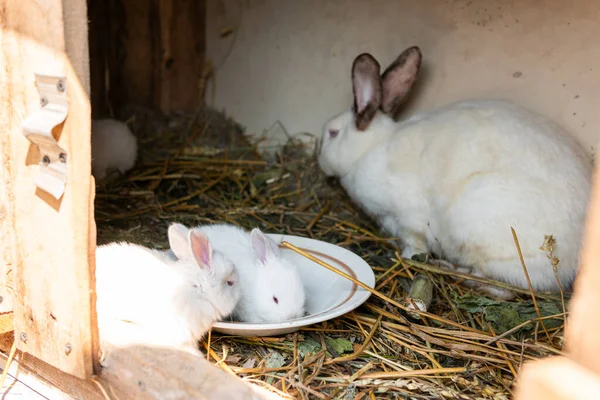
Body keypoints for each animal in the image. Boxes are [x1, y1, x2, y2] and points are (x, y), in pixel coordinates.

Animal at [316, 45, 592, 298]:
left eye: (332, 133)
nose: (319, 160)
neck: (370, 148)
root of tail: (572, 263)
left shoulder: (408, 219)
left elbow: (414, 245)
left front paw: (407, 259)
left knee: (503, 289)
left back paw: (454, 271)